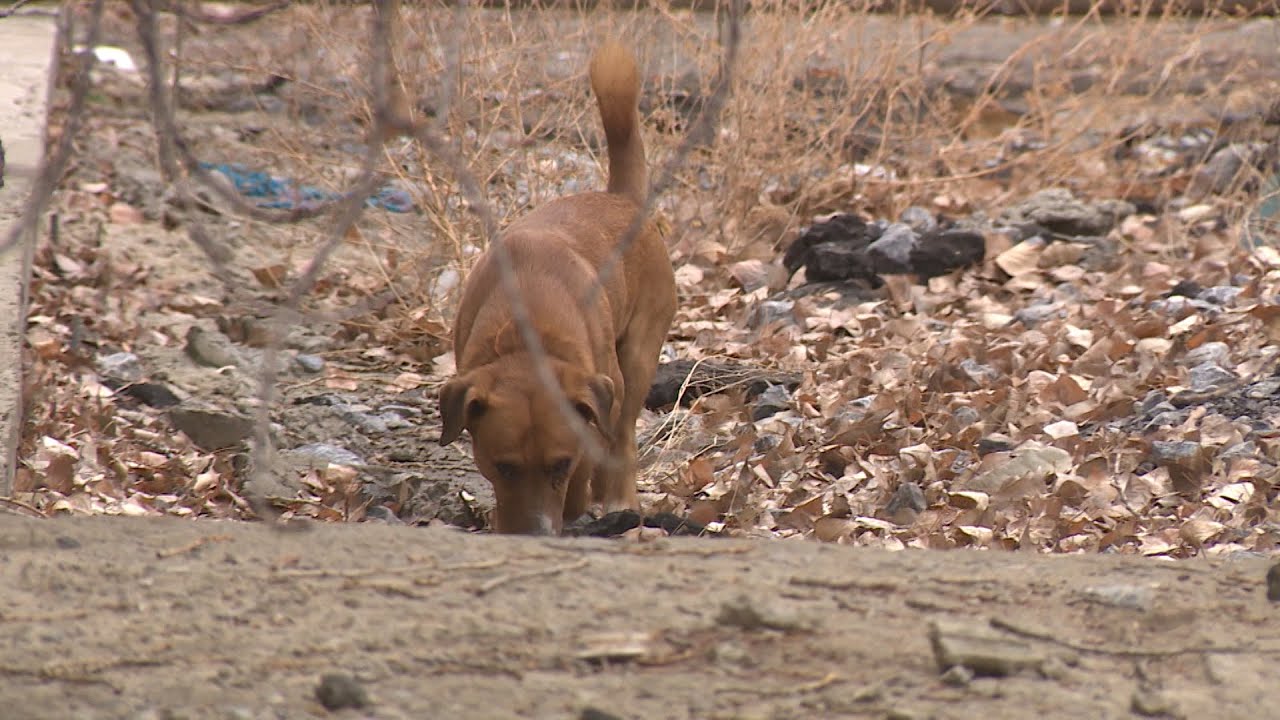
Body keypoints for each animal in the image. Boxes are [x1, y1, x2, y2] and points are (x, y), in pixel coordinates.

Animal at [437, 40, 680, 532]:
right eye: (503, 466)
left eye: (560, 465)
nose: (536, 532)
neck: (525, 328)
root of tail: (622, 199)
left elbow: (591, 456)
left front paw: (579, 503)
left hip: (638, 358)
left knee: (623, 435)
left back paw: (619, 497)